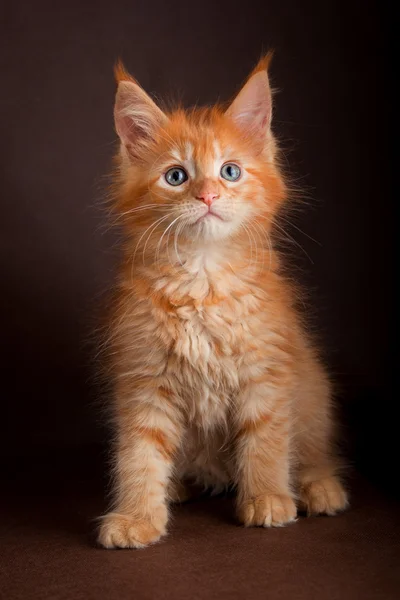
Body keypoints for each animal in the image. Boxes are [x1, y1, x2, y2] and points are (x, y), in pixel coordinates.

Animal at [98, 56, 348, 548]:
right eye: (176, 176)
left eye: (230, 171)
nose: (208, 195)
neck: (203, 280)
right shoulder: (144, 382)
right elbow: (139, 456)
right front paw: (138, 516)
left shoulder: (267, 374)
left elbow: (265, 442)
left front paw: (268, 497)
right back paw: (179, 486)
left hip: (313, 391)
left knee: (313, 450)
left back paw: (319, 487)